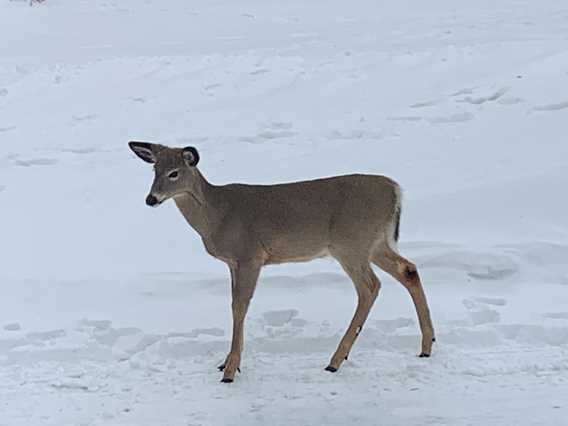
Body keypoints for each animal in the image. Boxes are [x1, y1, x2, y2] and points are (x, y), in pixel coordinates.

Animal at [131, 141, 438, 382]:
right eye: (154, 170)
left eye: (174, 173)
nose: (150, 198)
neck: (216, 215)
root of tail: (396, 190)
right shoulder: (233, 263)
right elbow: (234, 304)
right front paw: (227, 362)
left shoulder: (250, 255)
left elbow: (239, 306)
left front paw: (230, 370)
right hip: (375, 243)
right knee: (408, 269)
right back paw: (426, 345)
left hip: (351, 244)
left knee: (370, 286)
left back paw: (335, 360)